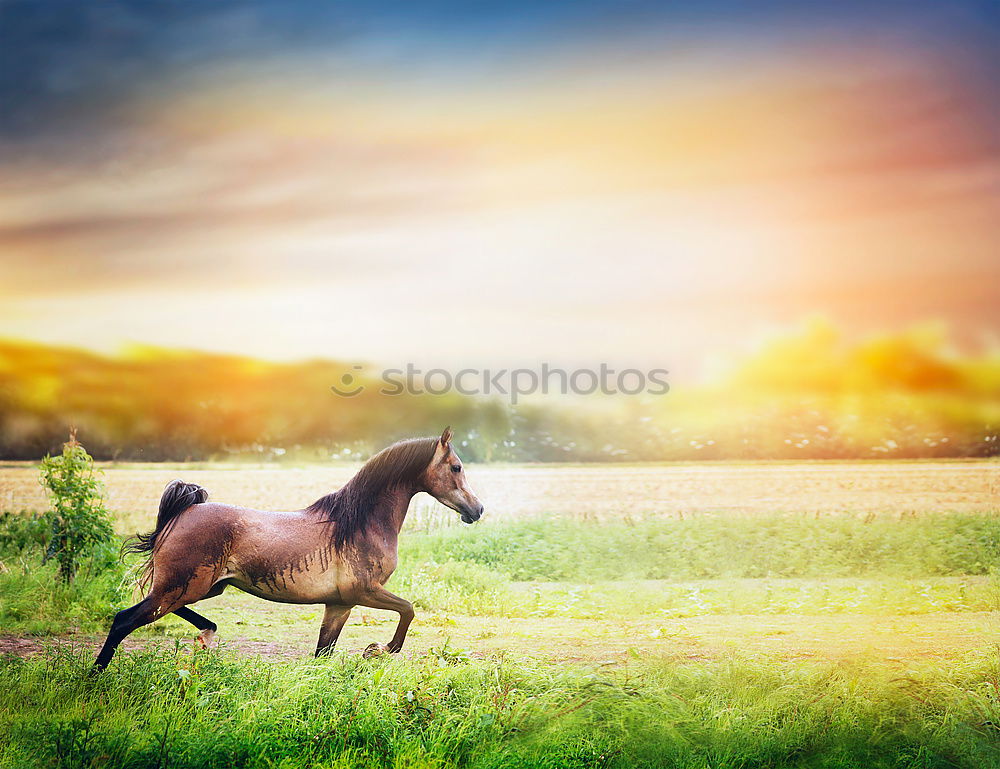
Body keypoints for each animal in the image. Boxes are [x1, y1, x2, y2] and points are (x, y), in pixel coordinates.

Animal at [94, 428, 484, 668]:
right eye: (456, 467)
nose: (477, 509)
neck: (357, 524)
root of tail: (182, 513)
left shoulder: (340, 603)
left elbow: (323, 653)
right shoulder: (366, 591)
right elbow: (408, 610)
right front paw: (378, 650)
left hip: (202, 588)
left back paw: (207, 634)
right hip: (179, 587)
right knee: (123, 620)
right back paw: (94, 678)